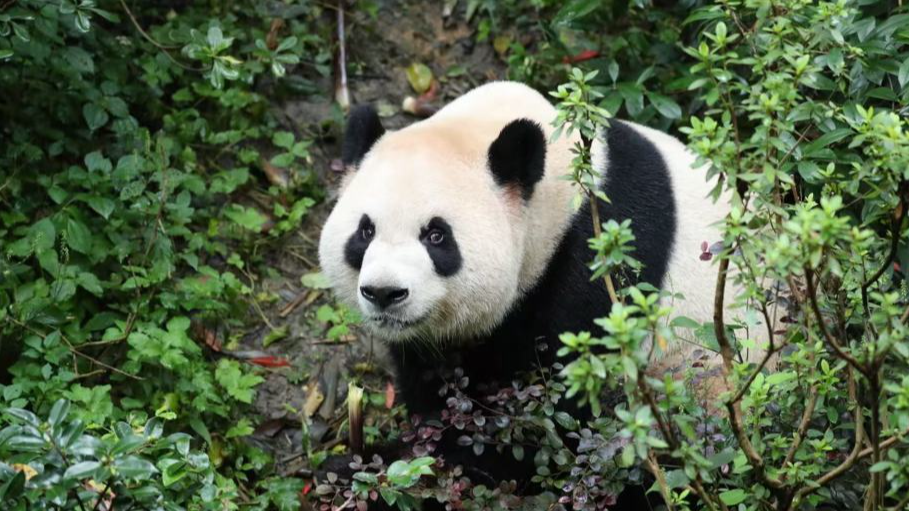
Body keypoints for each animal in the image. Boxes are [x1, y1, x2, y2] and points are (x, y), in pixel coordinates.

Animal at [318, 81, 764, 506]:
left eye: (436, 236)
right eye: (365, 231)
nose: (384, 292)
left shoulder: (599, 264)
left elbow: (551, 425)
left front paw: (386, 470)